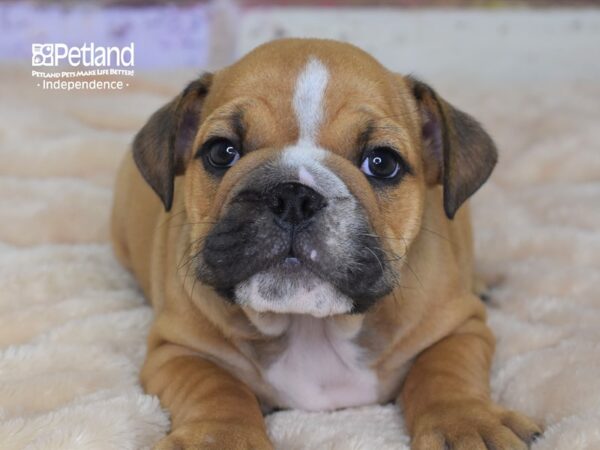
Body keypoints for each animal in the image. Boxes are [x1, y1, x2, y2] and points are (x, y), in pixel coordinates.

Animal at [110, 39, 540, 450]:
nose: (293, 196)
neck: (312, 326)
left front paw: (468, 424)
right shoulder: (178, 349)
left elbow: (445, 373)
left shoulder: (459, 328)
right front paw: (220, 438)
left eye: (382, 163)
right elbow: (216, 389)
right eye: (221, 152)